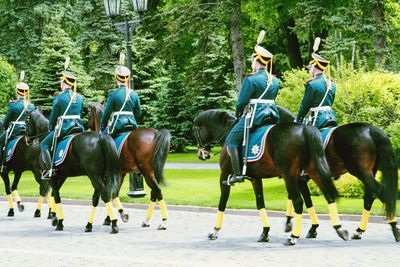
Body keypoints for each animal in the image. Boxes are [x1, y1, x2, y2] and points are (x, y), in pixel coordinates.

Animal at [88, 103, 171, 231]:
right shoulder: (120, 174)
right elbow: (114, 193)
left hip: (146, 172)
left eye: (88, 114)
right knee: (154, 193)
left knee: (157, 191)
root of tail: (155, 133)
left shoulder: (103, 175)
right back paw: (147, 221)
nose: (88, 128)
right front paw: (111, 218)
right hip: (153, 172)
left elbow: (100, 196)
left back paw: (164, 222)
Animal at [192, 108, 348, 246]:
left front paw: (214, 231)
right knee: (328, 195)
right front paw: (265, 232)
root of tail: (304, 129)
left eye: (195, 131)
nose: (202, 154)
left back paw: (293, 237)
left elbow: (222, 203)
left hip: (289, 176)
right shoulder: (256, 178)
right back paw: (340, 230)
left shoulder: (224, 176)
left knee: (299, 201)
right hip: (313, 171)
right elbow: (260, 203)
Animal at [282, 109, 400, 243]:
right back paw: (359, 231)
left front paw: (303, 227)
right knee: (370, 197)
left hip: (361, 172)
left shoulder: (299, 179)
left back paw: (394, 228)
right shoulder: (299, 178)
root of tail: (370, 129)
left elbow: (305, 200)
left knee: (381, 193)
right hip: (369, 173)